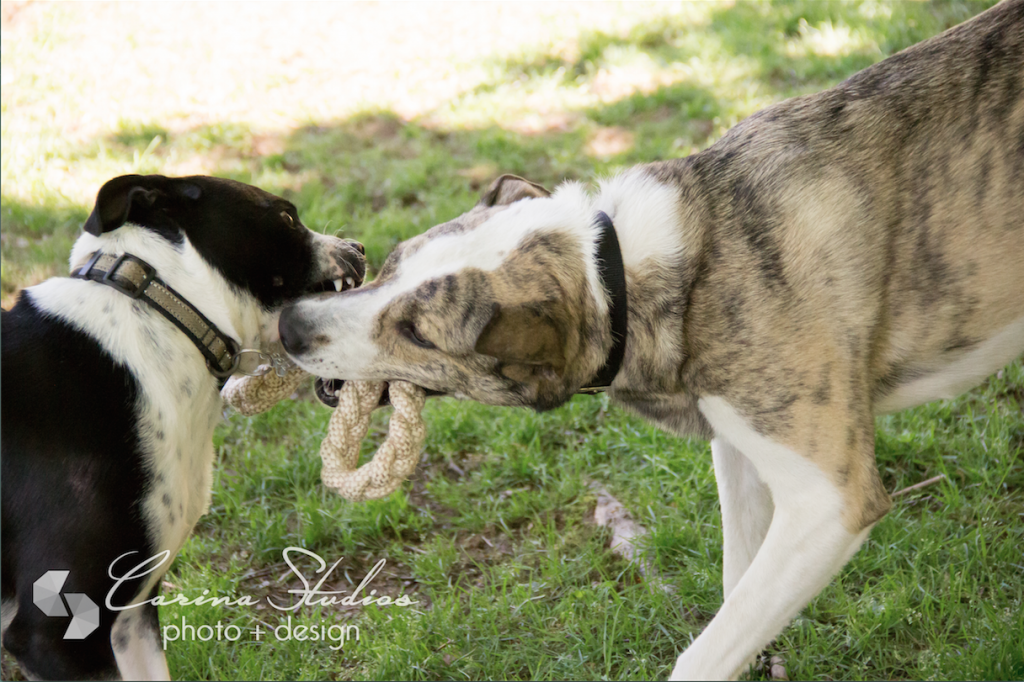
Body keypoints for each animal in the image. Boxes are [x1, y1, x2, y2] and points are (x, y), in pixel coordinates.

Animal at [280, 2, 1024, 675]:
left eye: (416, 332)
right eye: (391, 263)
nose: (289, 323)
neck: (624, 274)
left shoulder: (829, 503)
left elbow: (704, 654)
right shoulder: (739, 449)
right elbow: (736, 591)